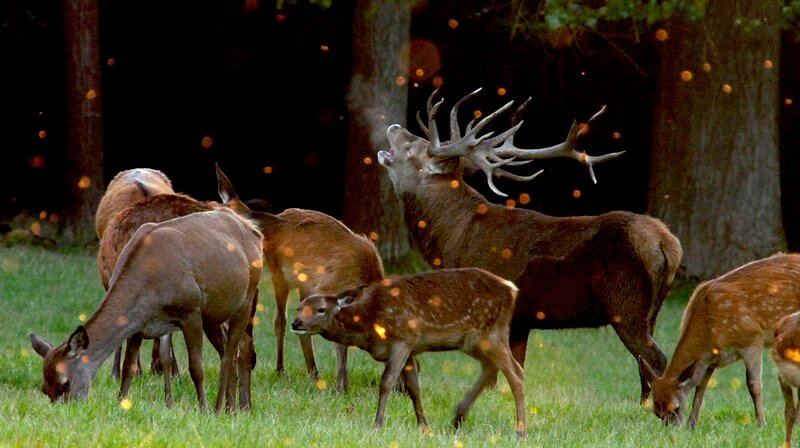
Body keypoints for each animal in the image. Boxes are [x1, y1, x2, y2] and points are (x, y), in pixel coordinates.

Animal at [30, 207, 263, 412]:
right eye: (44, 389)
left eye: (66, 383)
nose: (64, 410)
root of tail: (255, 232)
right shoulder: (137, 327)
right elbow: (128, 368)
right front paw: (121, 404)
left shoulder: (192, 311)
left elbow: (196, 368)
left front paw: (203, 409)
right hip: (213, 316)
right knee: (228, 351)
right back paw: (231, 408)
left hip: (246, 298)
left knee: (232, 352)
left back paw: (224, 409)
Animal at [216, 164, 385, 392]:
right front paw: (341, 387)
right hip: (282, 275)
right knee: (280, 320)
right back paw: (285, 370)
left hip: (302, 283)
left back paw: (311, 372)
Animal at [290, 267, 527, 437]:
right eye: (299, 307)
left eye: (321, 309)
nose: (296, 322)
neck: (370, 322)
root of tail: (512, 289)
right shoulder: (412, 346)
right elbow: (414, 387)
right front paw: (424, 426)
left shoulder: (403, 338)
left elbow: (386, 382)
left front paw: (377, 425)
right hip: (472, 341)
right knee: (492, 368)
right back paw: (457, 419)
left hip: (491, 333)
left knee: (516, 374)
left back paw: (520, 432)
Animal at [377, 87, 682, 403]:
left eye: (414, 148)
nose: (395, 126)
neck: (455, 238)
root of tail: (668, 244)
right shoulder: (522, 319)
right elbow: (517, 370)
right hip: (652, 310)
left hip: (627, 304)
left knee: (656, 358)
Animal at [638, 252, 800, 428]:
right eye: (656, 412)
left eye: (676, 408)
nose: (672, 430)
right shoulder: (710, 359)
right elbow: (700, 386)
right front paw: (691, 425)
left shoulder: (752, 339)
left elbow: (754, 385)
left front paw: (761, 424)